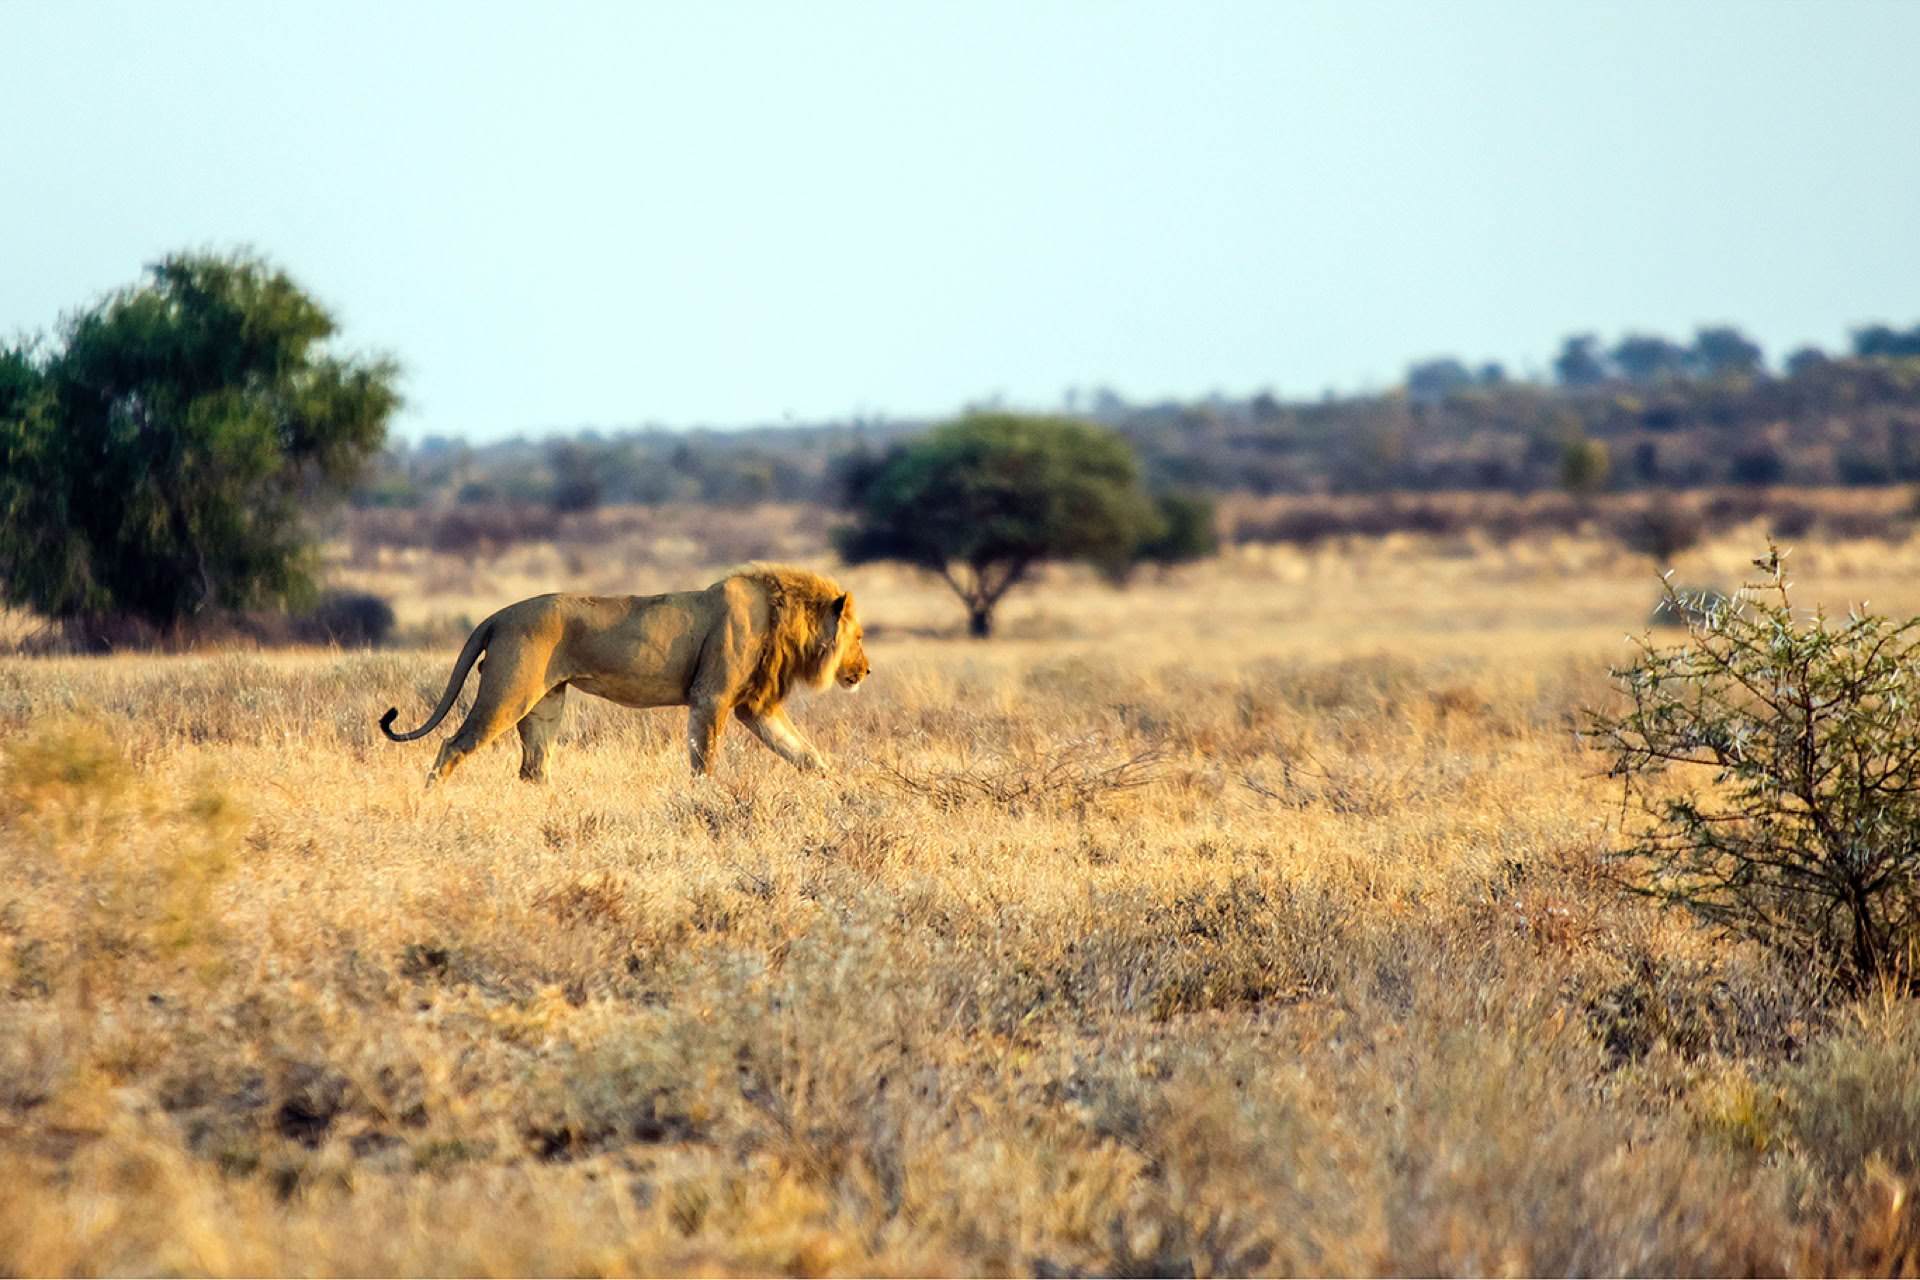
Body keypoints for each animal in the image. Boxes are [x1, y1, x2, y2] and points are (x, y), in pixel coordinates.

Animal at [379, 564, 867, 786]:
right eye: (860, 636)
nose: (865, 670)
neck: (783, 619)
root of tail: (499, 614)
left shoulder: (753, 705)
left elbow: (803, 751)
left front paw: (836, 786)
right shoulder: (711, 697)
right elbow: (703, 759)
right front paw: (703, 799)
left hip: (545, 702)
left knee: (533, 766)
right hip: (508, 693)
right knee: (452, 745)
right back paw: (430, 802)